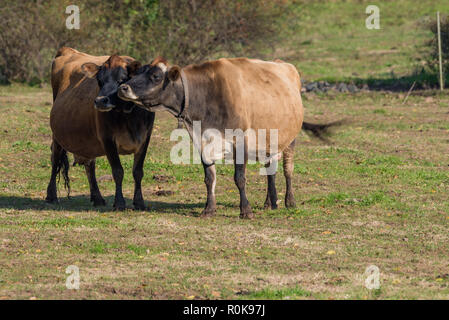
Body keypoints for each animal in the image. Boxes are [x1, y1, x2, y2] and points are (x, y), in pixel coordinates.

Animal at [45, 47, 154, 211]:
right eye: (99, 81)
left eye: (122, 80)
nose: (100, 101)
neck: (128, 115)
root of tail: (68, 50)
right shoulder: (107, 138)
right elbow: (118, 171)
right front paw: (119, 203)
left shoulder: (145, 138)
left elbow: (138, 172)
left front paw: (139, 202)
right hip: (57, 136)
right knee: (55, 159)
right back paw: (51, 195)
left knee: (90, 166)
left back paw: (97, 197)